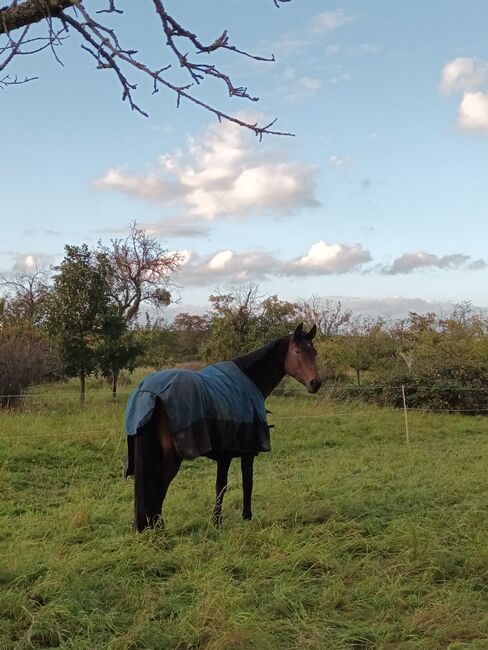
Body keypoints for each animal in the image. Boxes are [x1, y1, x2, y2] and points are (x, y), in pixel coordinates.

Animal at [124, 322, 322, 528]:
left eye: (314, 352)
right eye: (298, 351)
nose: (315, 383)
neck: (249, 381)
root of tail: (149, 392)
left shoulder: (225, 455)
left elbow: (221, 486)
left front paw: (217, 521)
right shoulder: (244, 452)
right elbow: (244, 483)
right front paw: (245, 517)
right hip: (171, 457)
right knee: (159, 487)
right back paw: (159, 528)